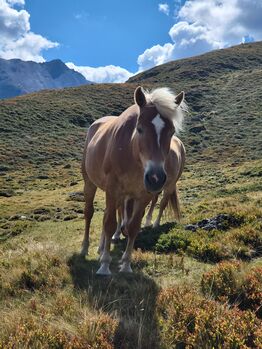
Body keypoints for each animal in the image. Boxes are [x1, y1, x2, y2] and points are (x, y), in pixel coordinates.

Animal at [81, 85, 185, 274]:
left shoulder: (143, 195)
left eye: (172, 131)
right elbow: (109, 223)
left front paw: (126, 263)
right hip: (90, 183)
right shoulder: (113, 189)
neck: (131, 153)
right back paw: (85, 248)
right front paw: (105, 265)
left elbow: (133, 226)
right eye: (140, 128)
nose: (155, 177)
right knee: (89, 213)